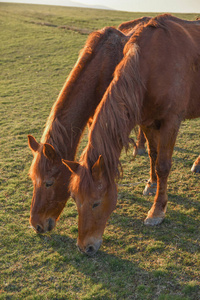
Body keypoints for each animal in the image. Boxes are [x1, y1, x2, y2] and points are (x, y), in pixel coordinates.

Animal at [63, 14, 200, 255]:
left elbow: (163, 165)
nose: (85, 247)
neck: (151, 65)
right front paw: (151, 184)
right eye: (74, 199)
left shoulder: (171, 121)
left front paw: (157, 211)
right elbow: (153, 156)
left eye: (95, 202)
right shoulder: (147, 120)